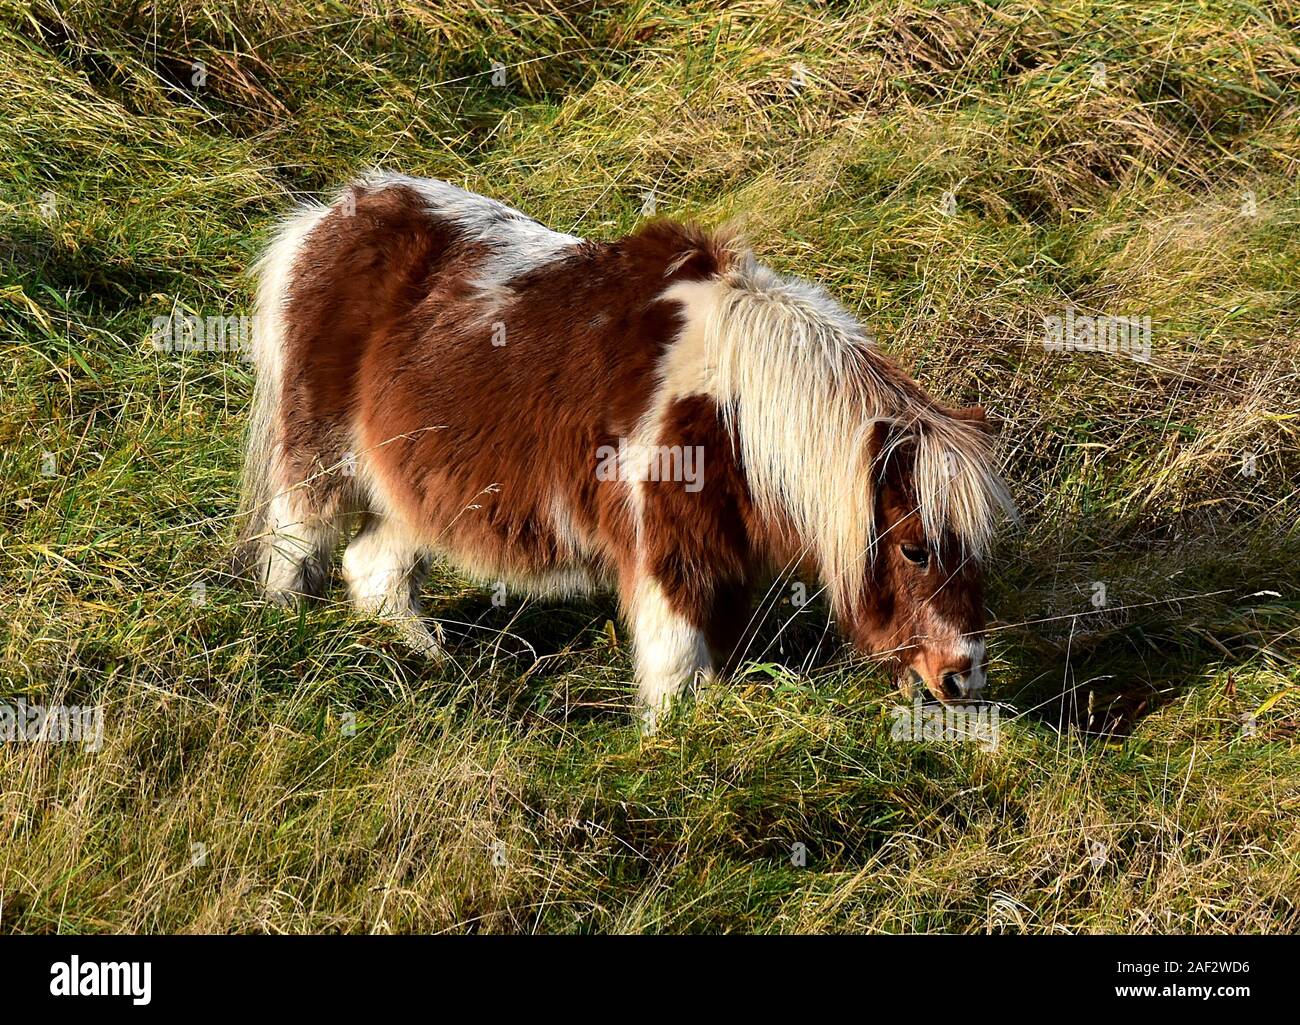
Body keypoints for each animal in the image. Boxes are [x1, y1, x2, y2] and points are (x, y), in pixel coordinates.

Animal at [241, 171, 1013, 723]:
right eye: (914, 548)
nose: (962, 676)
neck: (730, 407)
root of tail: (328, 216)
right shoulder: (668, 551)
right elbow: (675, 670)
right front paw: (669, 751)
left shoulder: (725, 562)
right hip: (318, 461)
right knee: (292, 549)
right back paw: (286, 638)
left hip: (415, 490)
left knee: (374, 571)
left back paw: (435, 663)